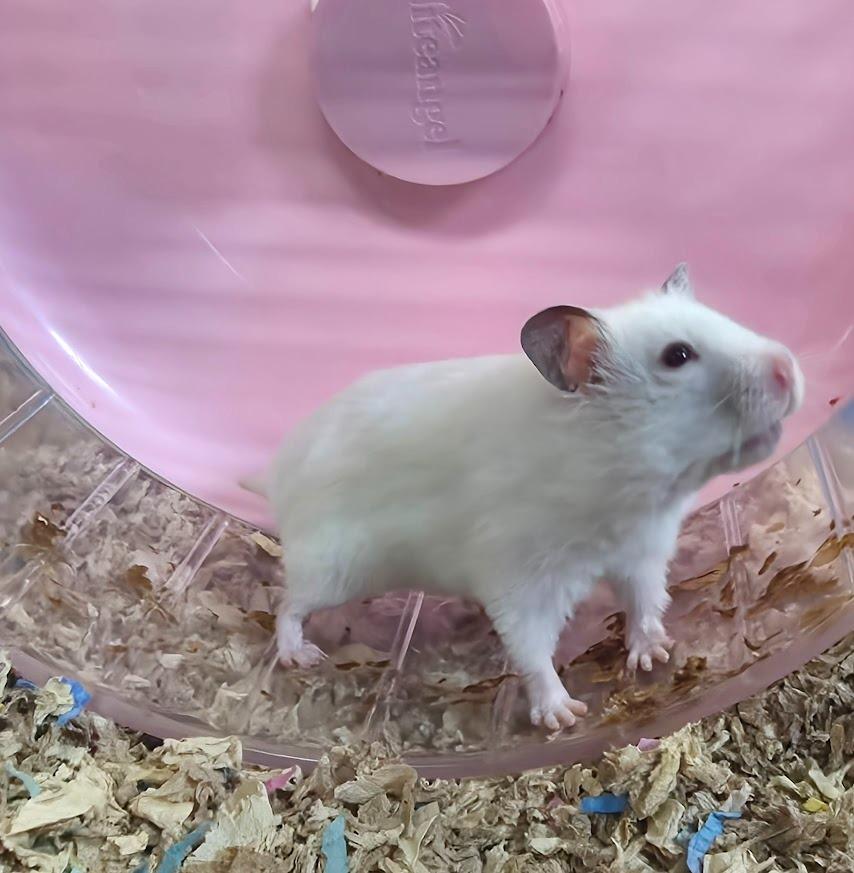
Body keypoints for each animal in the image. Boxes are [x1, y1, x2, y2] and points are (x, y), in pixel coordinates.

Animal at [250, 264, 804, 731]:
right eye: (678, 356)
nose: (789, 368)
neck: (623, 492)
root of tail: (275, 476)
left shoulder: (641, 554)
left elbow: (645, 601)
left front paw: (656, 654)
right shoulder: (524, 581)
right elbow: (532, 649)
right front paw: (564, 716)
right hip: (334, 568)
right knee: (286, 603)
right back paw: (301, 655)